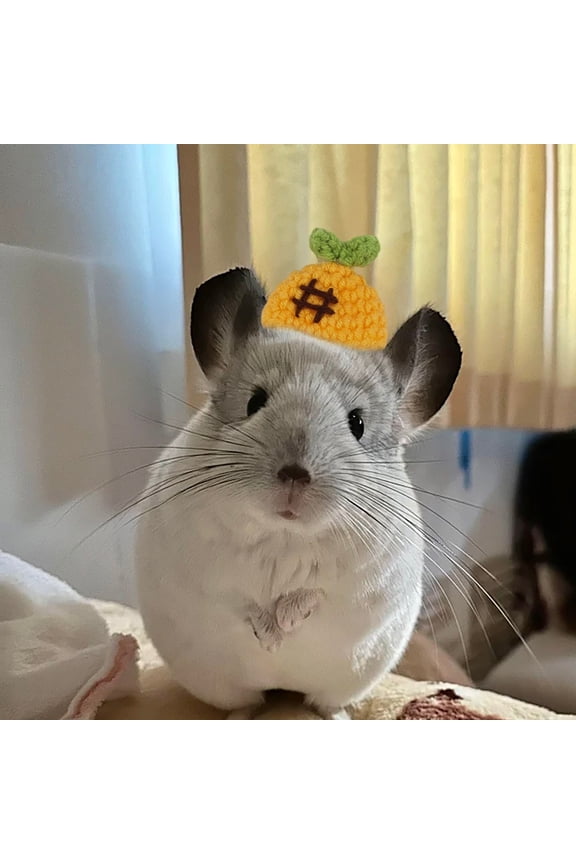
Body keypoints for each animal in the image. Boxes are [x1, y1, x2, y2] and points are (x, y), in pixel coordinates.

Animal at [136, 268, 461, 716]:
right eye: (255, 402)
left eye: (357, 423)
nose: (294, 474)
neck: (285, 532)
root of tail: (280, 690)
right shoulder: (212, 574)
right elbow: (240, 599)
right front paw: (268, 636)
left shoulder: (353, 588)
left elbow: (311, 597)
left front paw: (282, 628)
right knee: (248, 702)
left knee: (318, 703)